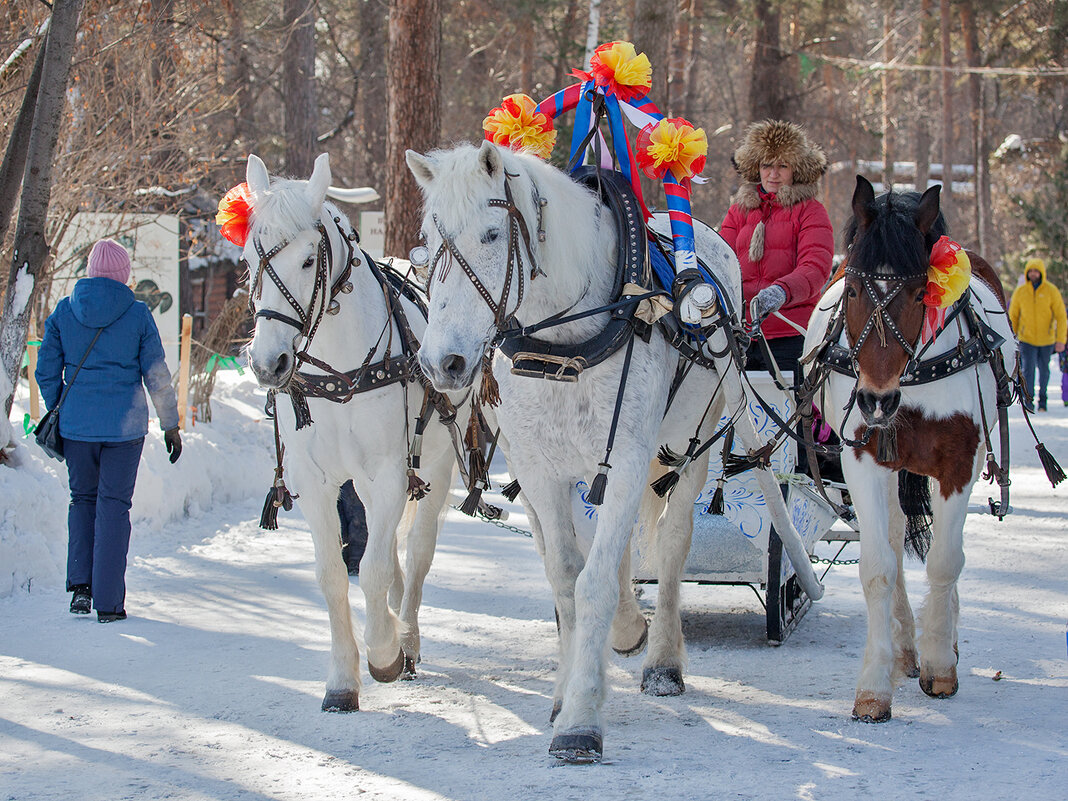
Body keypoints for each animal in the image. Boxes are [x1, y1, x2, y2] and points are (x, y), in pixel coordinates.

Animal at [247, 153, 469, 713]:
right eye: (250, 256)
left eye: (309, 261)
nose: (266, 362)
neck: (341, 371)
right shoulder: (316, 481)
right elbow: (332, 574)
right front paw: (342, 680)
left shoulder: (389, 473)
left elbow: (371, 570)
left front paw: (385, 652)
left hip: (434, 467)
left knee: (415, 553)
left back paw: (406, 635)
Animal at [403, 140, 820, 760]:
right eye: (430, 240)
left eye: (492, 234)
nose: (441, 362)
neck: (562, 346)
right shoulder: (542, 471)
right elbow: (566, 578)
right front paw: (567, 691)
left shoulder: (625, 460)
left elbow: (594, 582)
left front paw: (580, 720)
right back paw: (626, 630)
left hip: (689, 445)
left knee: (671, 544)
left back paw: (663, 660)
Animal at [803, 178, 1016, 726]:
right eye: (852, 290)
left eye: (922, 292)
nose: (877, 399)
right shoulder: (864, 457)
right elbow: (878, 565)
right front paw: (875, 684)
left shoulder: (958, 462)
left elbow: (944, 560)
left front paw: (941, 664)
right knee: (898, 540)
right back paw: (903, 648)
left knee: (945, 546)